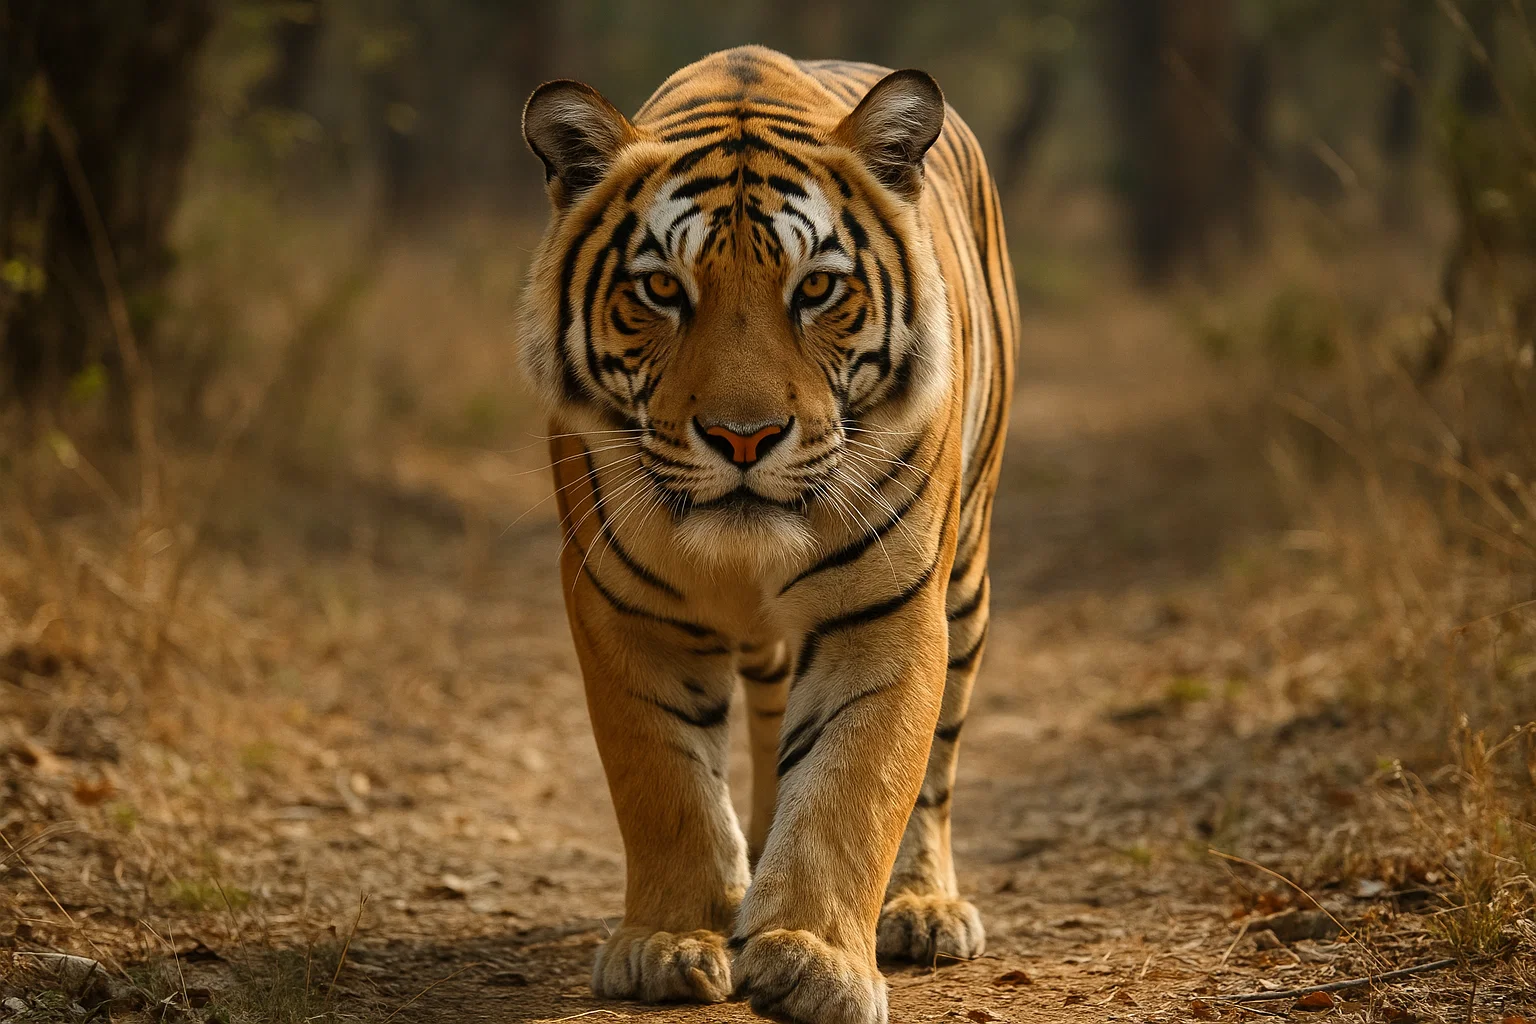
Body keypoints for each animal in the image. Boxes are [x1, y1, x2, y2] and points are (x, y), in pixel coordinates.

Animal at [519, 45, 1016, 1024]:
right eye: (662, 289)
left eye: (816, 287)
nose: (743, 437)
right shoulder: (621, 608)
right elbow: (662, 781)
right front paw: (668, 942)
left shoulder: (889, 609)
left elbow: (856, 785)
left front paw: (812, 961)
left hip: (968, 579)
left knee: (936, 768)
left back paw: (923, 907)